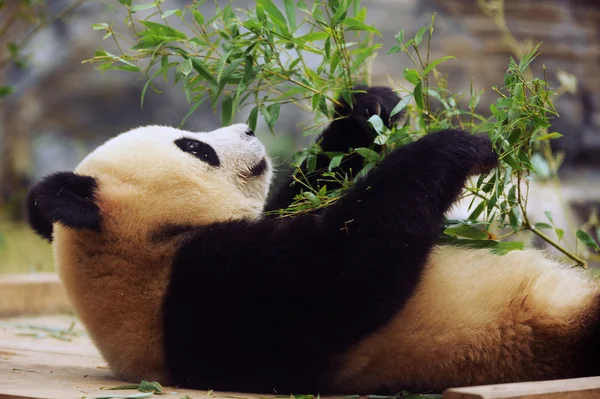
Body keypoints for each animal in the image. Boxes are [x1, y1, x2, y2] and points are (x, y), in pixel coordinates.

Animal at [25, 86, 600, 396]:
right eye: (194, 147)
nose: (249, 131)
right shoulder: (199, 295)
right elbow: (345, 267)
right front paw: (458, 144)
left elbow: (309, 192)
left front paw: (367, 109)